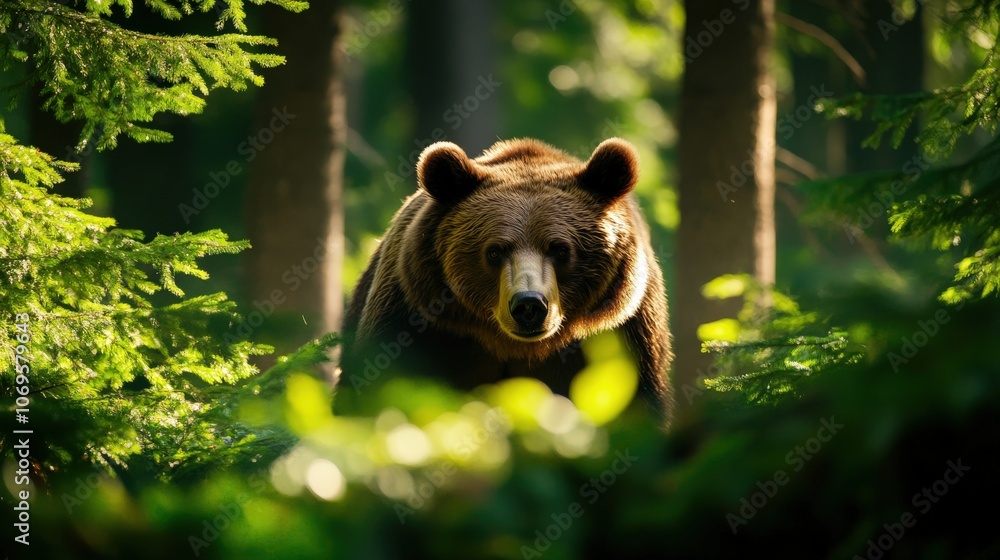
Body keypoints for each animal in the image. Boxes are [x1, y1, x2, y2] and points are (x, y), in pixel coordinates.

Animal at [337, 137, 672, 422]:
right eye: (495, 251)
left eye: (561, 249)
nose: (529, 305)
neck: (515, 346)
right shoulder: (417, 321)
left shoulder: (625, 336)